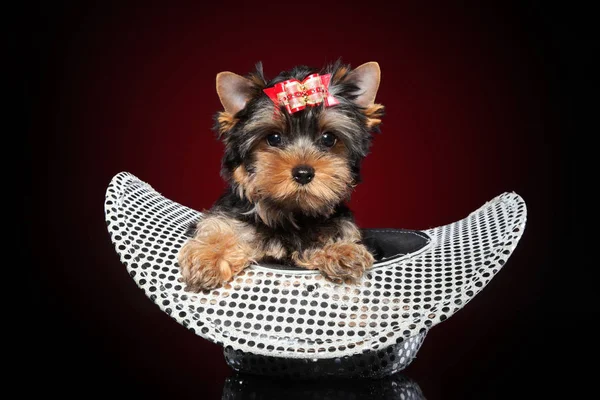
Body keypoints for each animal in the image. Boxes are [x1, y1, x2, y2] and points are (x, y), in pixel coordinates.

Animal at [178, 60, 384, 290]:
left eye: (329, 139)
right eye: (274, 138)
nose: (303, 173)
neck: (291, 212)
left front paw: (342, 251)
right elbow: (222, 228)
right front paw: (208, 256)